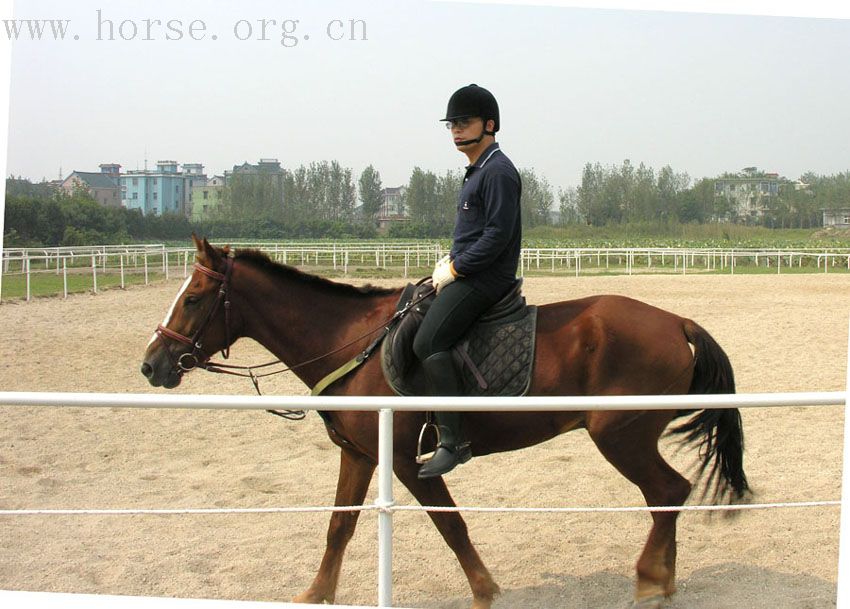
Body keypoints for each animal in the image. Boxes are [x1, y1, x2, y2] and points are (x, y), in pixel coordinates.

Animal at [142, 238, 744, 608]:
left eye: (193, 299)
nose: (151, 364)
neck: (355, 343)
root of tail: (676, 321)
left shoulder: (407, 461)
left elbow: (450, 524)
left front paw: (484, 590)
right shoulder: (359, 454)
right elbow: (339, 527)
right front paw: (315, 595)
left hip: (621, 436)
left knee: (668, 491)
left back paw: (649, 581)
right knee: (668, 495)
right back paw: (664, 581)